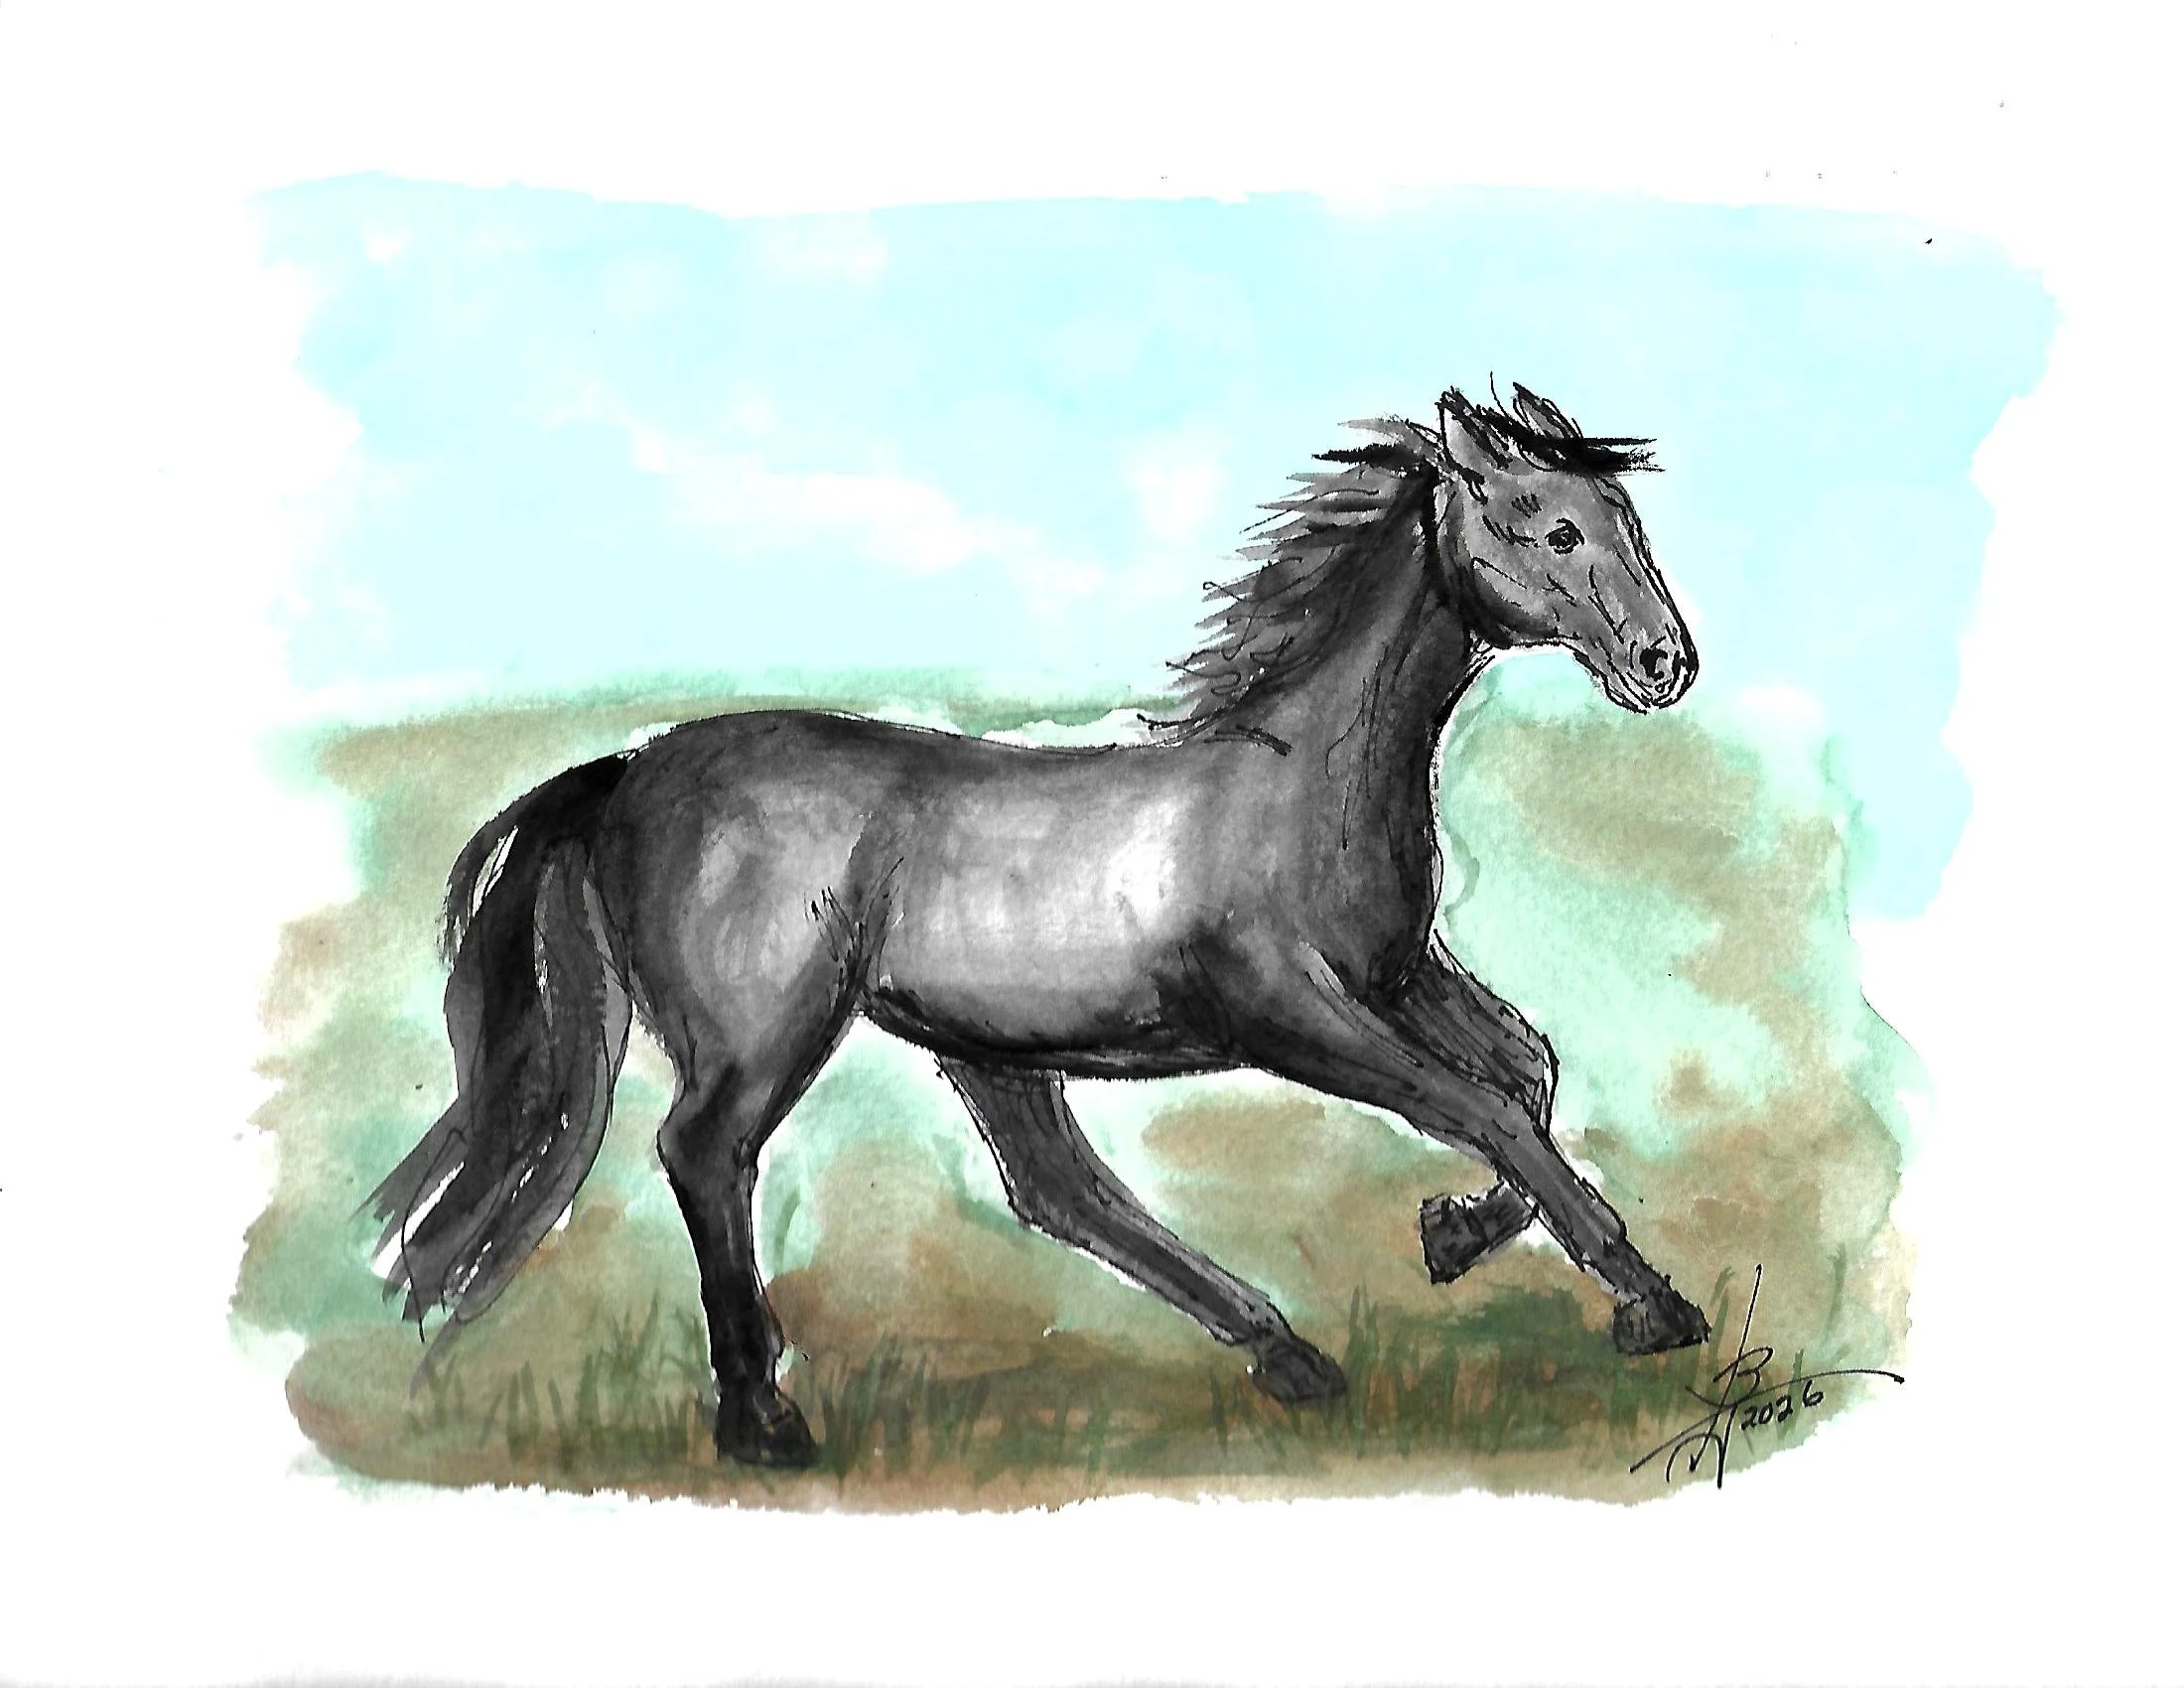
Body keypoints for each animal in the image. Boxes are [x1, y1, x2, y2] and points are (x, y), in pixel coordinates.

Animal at [372, 382, 1711, 1468]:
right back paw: (766, 1423)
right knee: (709, 1153)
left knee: (1056, 1188)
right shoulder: (1287, 1010)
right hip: (772, 1034)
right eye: (1554, 528)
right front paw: (1655, 1310)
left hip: (988, 1048)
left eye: (1627, 523)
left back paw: (1288, 1355)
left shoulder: (1398, 975)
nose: (1665, 661)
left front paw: (1452, 1235)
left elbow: (1527, 1073)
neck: (1299, 782)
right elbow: (1482, 1106)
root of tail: (627, 769)